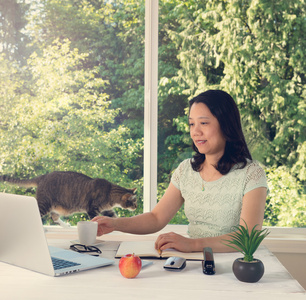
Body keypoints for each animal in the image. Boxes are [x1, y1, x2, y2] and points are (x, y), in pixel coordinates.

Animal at [0, 172, 136, 226]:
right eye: (134, 201)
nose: (135, 207)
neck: (109, 192)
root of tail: (43, 176)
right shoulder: (92, 209)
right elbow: (95, 219)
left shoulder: (107, 210)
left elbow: (115, 217)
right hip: (44, 204)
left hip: (55, 207)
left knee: (54, 217)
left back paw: (66, 226)